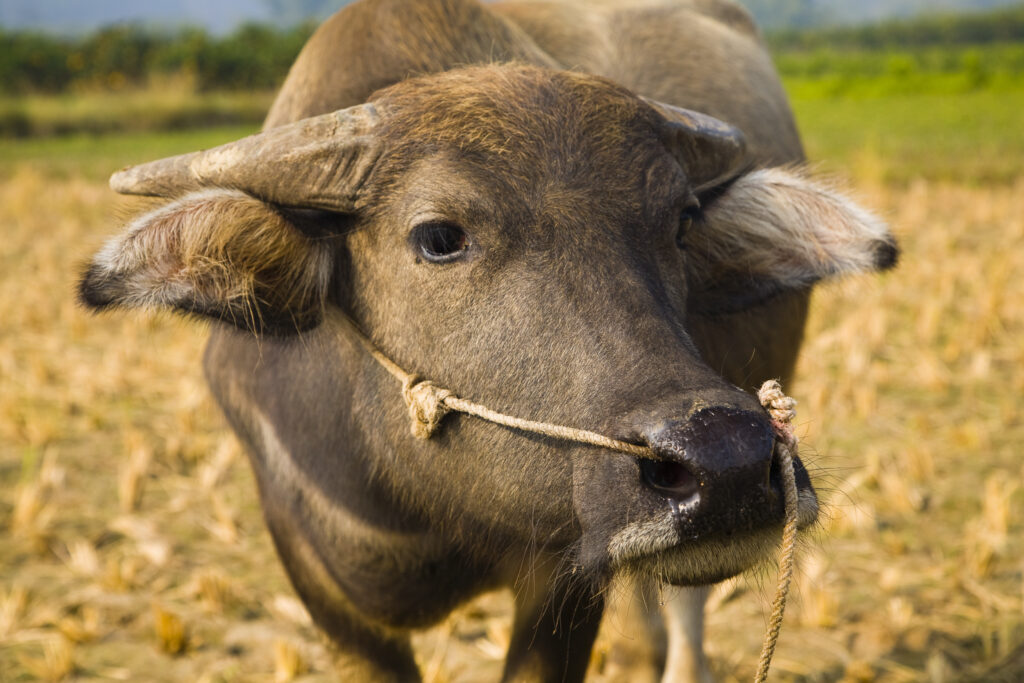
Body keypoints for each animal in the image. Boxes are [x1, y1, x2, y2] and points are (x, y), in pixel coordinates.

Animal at [80, 0, 896, 680]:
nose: (726, 458)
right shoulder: (320, 584)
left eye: (682, 221)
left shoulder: (563, 587)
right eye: (439, 236)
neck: (421, 506)